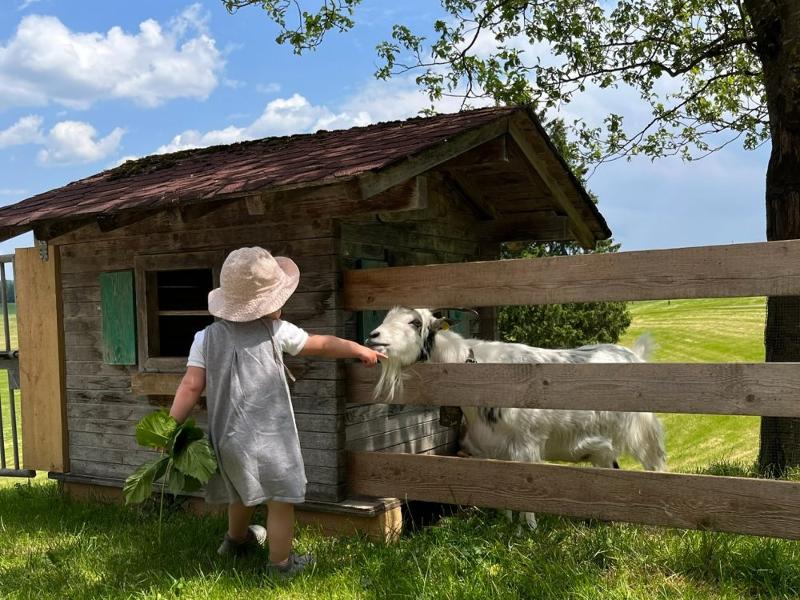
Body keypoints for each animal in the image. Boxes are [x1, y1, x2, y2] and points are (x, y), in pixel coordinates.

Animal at [366, 308, 664, 528]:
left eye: (415, 322)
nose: (373, 336)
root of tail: (634, 354)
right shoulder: (497, 450)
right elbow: (506, 494)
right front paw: (508, 524)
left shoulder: (527, 445)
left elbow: (525, 494)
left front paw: (529, 529)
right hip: (603, 445)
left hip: (643, 433)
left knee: (655, 467)